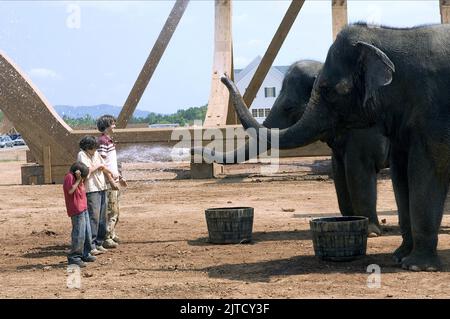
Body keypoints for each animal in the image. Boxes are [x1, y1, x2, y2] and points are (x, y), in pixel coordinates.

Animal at [266, 60, 388, 236]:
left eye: (288, 108)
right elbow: (339, 172)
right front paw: (352, 221)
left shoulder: (365, 130)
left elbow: (357, 171)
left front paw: (371, 232)